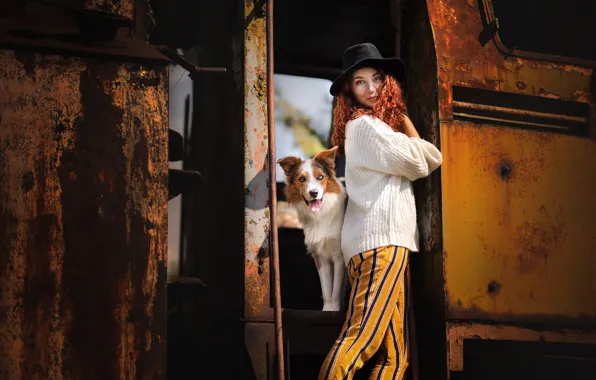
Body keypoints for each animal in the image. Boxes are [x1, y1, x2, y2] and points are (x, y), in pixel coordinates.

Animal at [278, 146, 346, 312]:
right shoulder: (320, 257)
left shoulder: (338, 255)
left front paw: (334, 310)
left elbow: (335, 289)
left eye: (320, 177)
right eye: (302, 179)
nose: (313, 193)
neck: (321, 214)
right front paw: (327, 309)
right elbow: (327, 289)